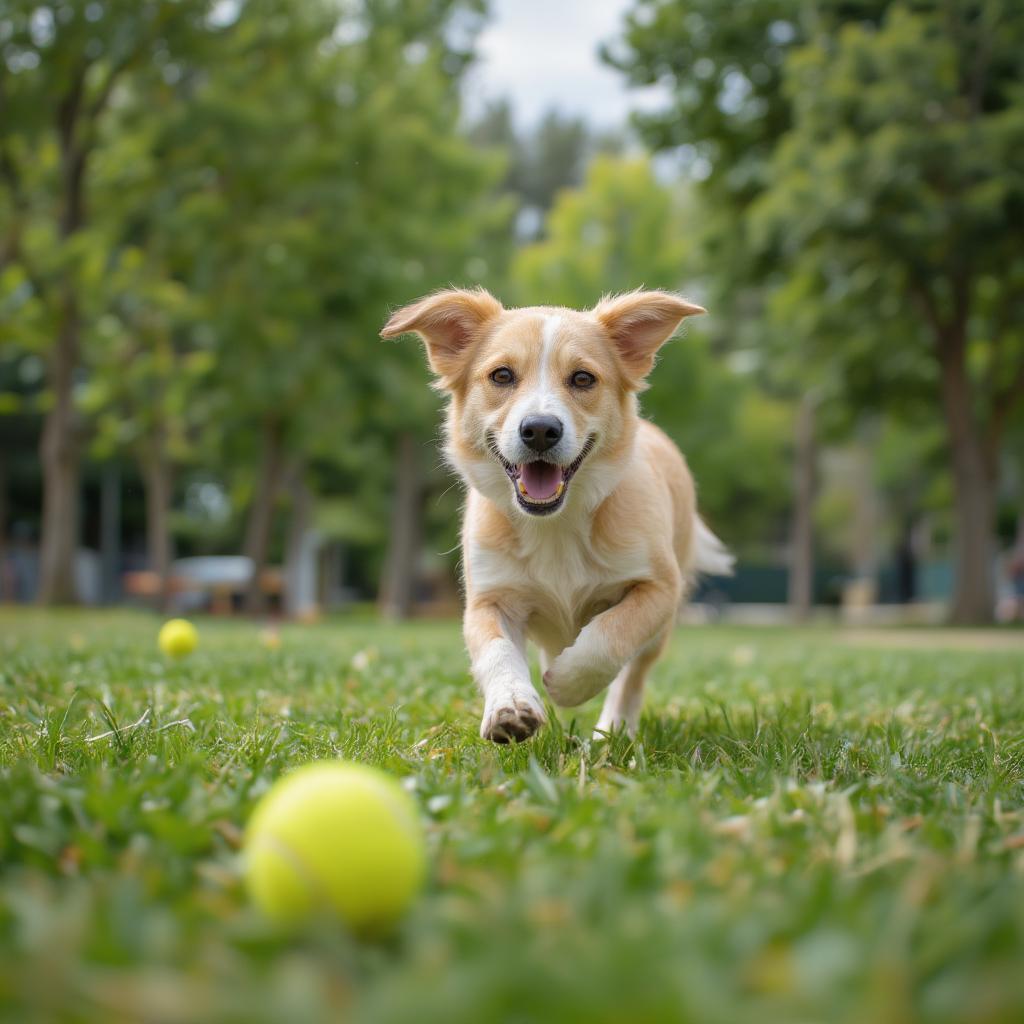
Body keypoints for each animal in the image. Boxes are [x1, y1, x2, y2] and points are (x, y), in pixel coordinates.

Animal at [382, 288, 729, 745]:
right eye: (502, 376)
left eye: (582, 379)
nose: (540, 430)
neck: (555, 526)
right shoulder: (489, 599)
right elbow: (497, 653)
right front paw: (511, 706)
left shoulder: (658, 588)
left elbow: (609, 634)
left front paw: (567, 683)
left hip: (661, 625)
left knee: (631, 677)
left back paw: (613, 729)